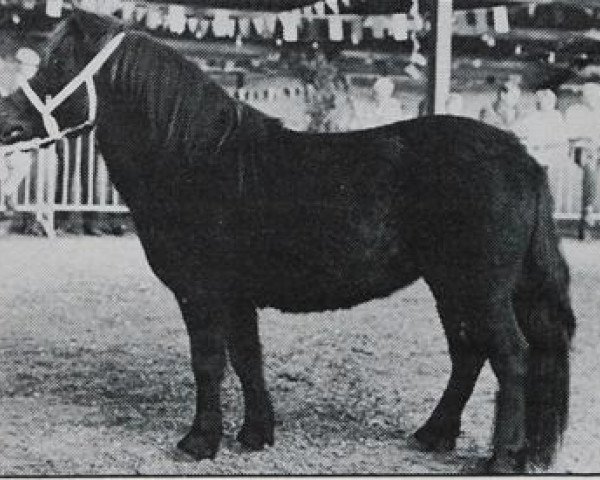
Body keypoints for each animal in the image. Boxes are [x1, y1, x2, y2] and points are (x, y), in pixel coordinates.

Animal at [0, 11, 576, 472]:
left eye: (57, 65)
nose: (6, 122)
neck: (194, 157)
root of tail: (521, 156)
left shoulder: (201, 293)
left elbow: (209, 362)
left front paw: (199, 442)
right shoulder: (235, 297)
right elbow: (246, 358)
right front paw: (255, 435)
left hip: (479, 287)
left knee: (510, 355)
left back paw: (501, 458)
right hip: (450, 284)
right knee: (468, 353)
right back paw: (433, 436)